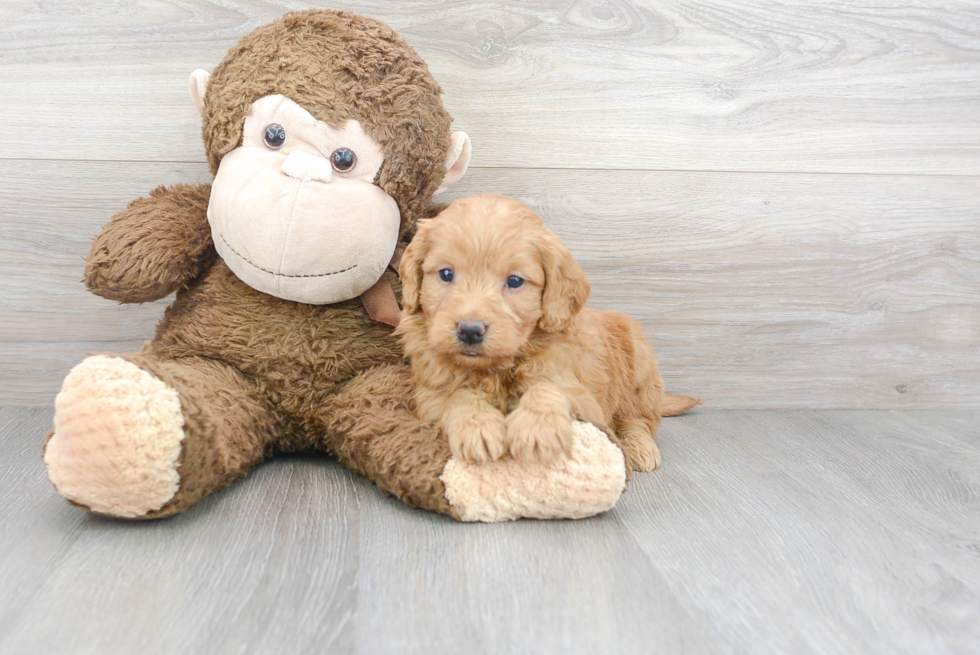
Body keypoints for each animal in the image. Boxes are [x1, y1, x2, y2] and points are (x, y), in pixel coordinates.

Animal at [394, 195, 700, 472]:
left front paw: (536, 428)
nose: (470, 331)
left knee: (639, 420)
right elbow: (456, 396)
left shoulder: (585, 398)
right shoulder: (429, 396)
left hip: (639, 369)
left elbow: (550, 386)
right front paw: (477, 427)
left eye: (514, 281)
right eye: (446, 274)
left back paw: (640, 448)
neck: (496, 369)